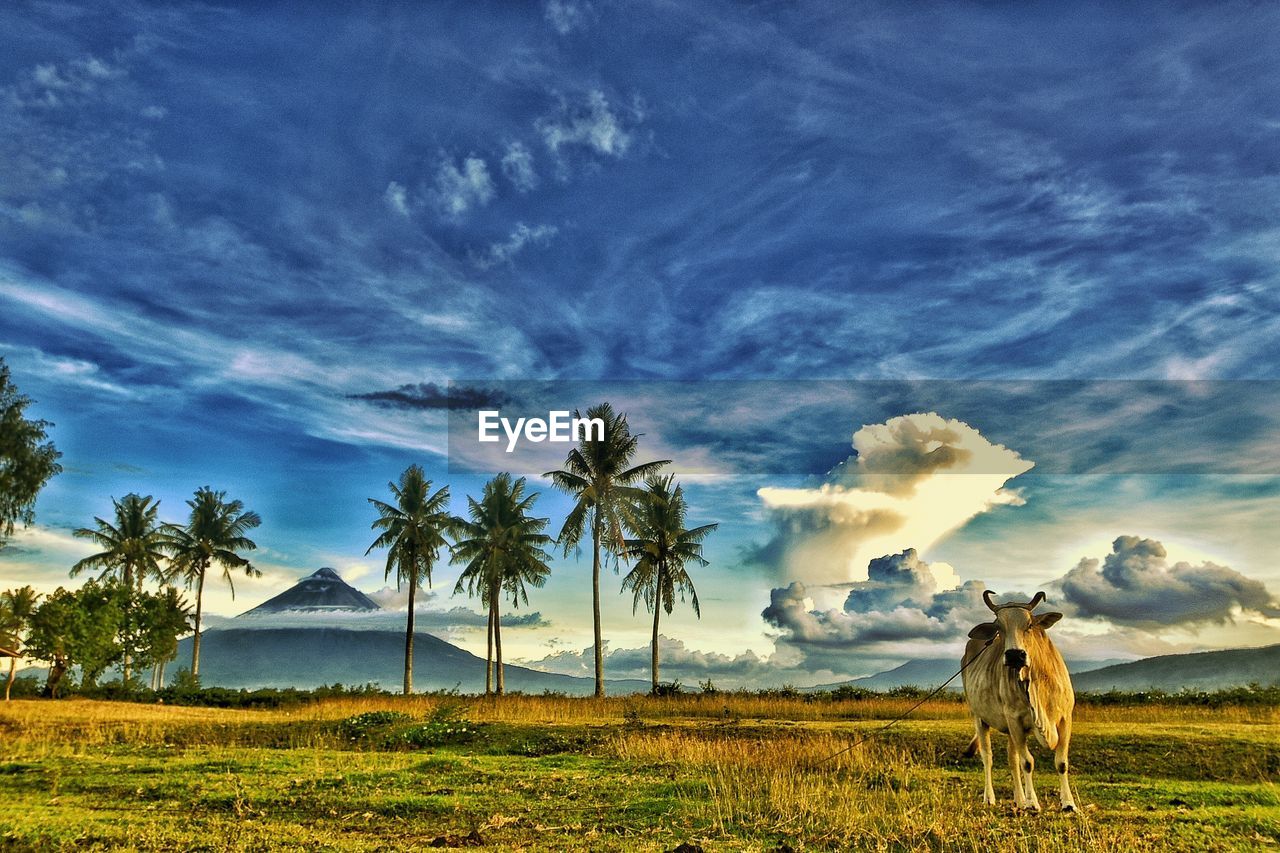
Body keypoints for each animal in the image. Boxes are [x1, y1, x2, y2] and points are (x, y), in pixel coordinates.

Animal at [962, 589, 1075, 809]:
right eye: (999, 628)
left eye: (1029, 625)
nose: (1015, 655)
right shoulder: (1014, 720)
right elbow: (1027, 762)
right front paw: (1032, 803)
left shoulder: (1065, 718)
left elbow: (1061, 763)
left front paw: (1068, 803)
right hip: (979, 717)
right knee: (988, 757)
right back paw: (990, 797)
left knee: (1011, 758)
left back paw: (1019, 799)